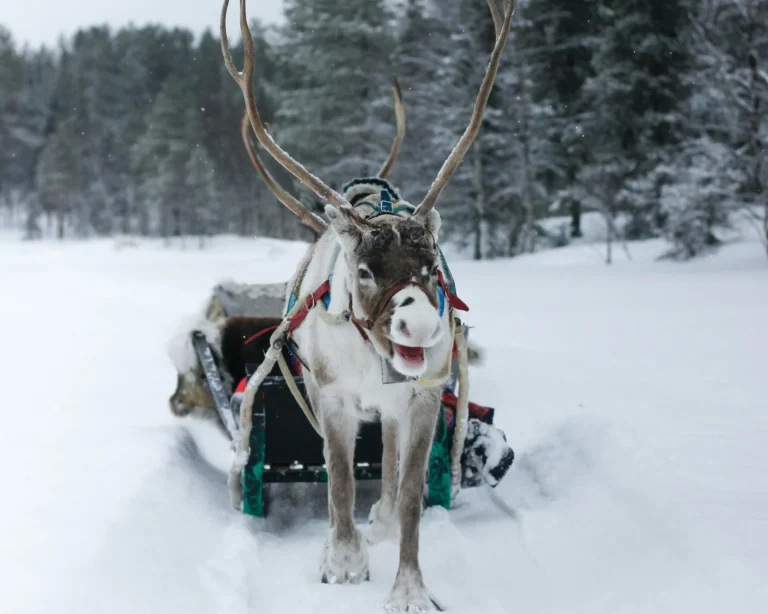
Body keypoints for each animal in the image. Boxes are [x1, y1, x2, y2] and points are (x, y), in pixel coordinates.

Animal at [219, 0, 515, 610]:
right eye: (364, 270)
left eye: (431, 267)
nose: (420, 326)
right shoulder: (332, 397)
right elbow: (338, 479)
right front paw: (343, 562)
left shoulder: (422, 400)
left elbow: (409, 494)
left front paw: (410, 588)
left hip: (397, 403)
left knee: (392, 461)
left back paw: (379, 520)